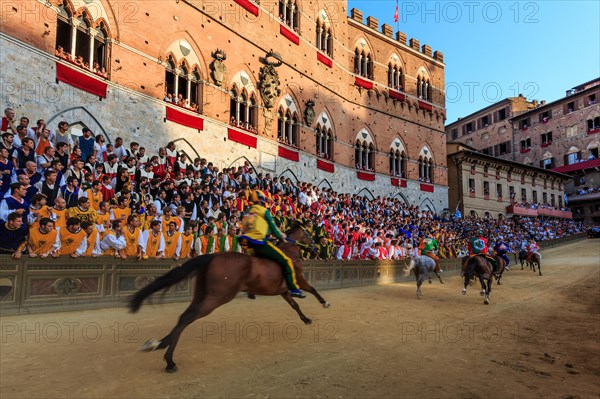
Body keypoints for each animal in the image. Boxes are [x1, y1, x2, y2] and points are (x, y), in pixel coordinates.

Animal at [128, 223, 330, 374]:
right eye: (309, 234)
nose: (315, 248)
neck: (288, 252)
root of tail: (212, 257)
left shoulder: (283, 291)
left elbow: (294, 305)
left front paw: (306, 319)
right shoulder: (299, 281)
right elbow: (312, 289)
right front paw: (325, 303)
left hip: (202, 294)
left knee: (183, 317)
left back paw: (163, 352)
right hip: (217, 297)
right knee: (188, 317)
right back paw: (165, 353)